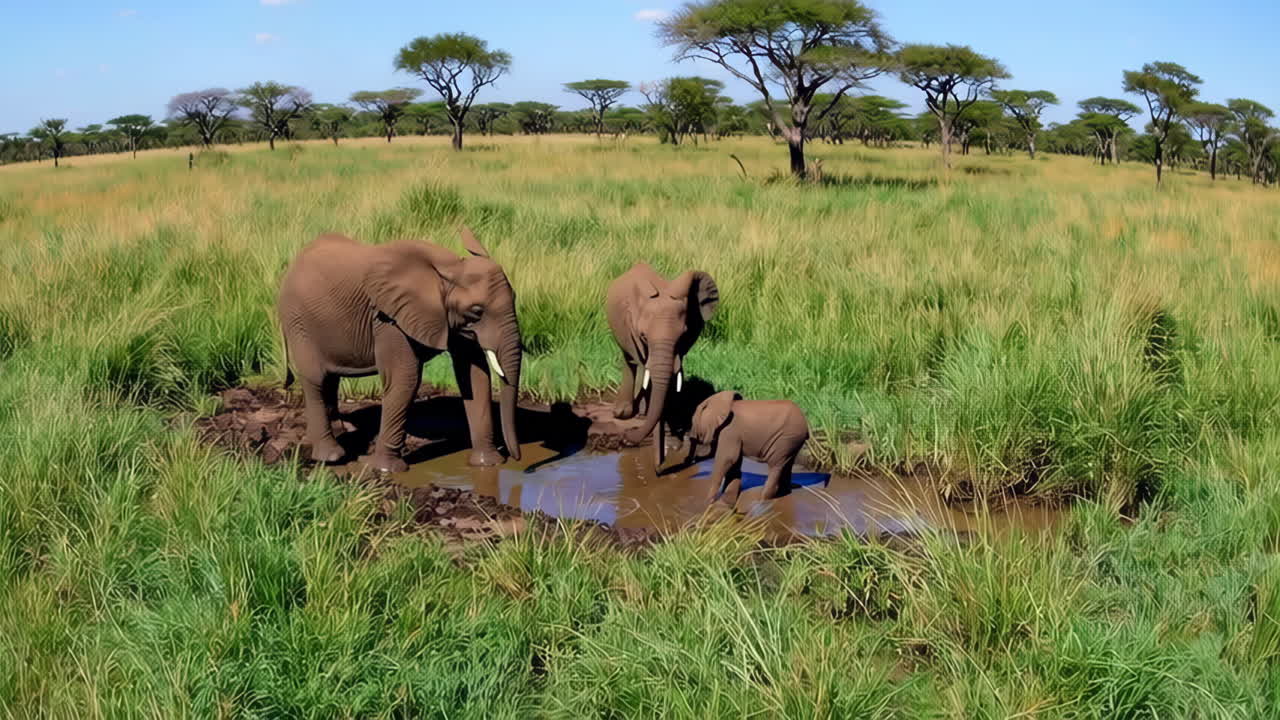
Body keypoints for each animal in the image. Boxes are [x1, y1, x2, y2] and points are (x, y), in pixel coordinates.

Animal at [277, 226, 522, 473]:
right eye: (477, 310)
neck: (448, 270)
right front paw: (382, 468)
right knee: (315, 378)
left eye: (515, 297)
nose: (516, 459)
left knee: (330, 378)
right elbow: (405, 378)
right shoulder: (388, 319)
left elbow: (475, 375)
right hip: (297, 321)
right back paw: (332, 456)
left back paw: (335, 434)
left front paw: (486, 464)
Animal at [605, 262, 719, 466]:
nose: (626, 438)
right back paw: (625, 413)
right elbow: (646, 366)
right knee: (630, 359)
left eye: (682, 335)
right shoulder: (632, 330)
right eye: (643, 336)